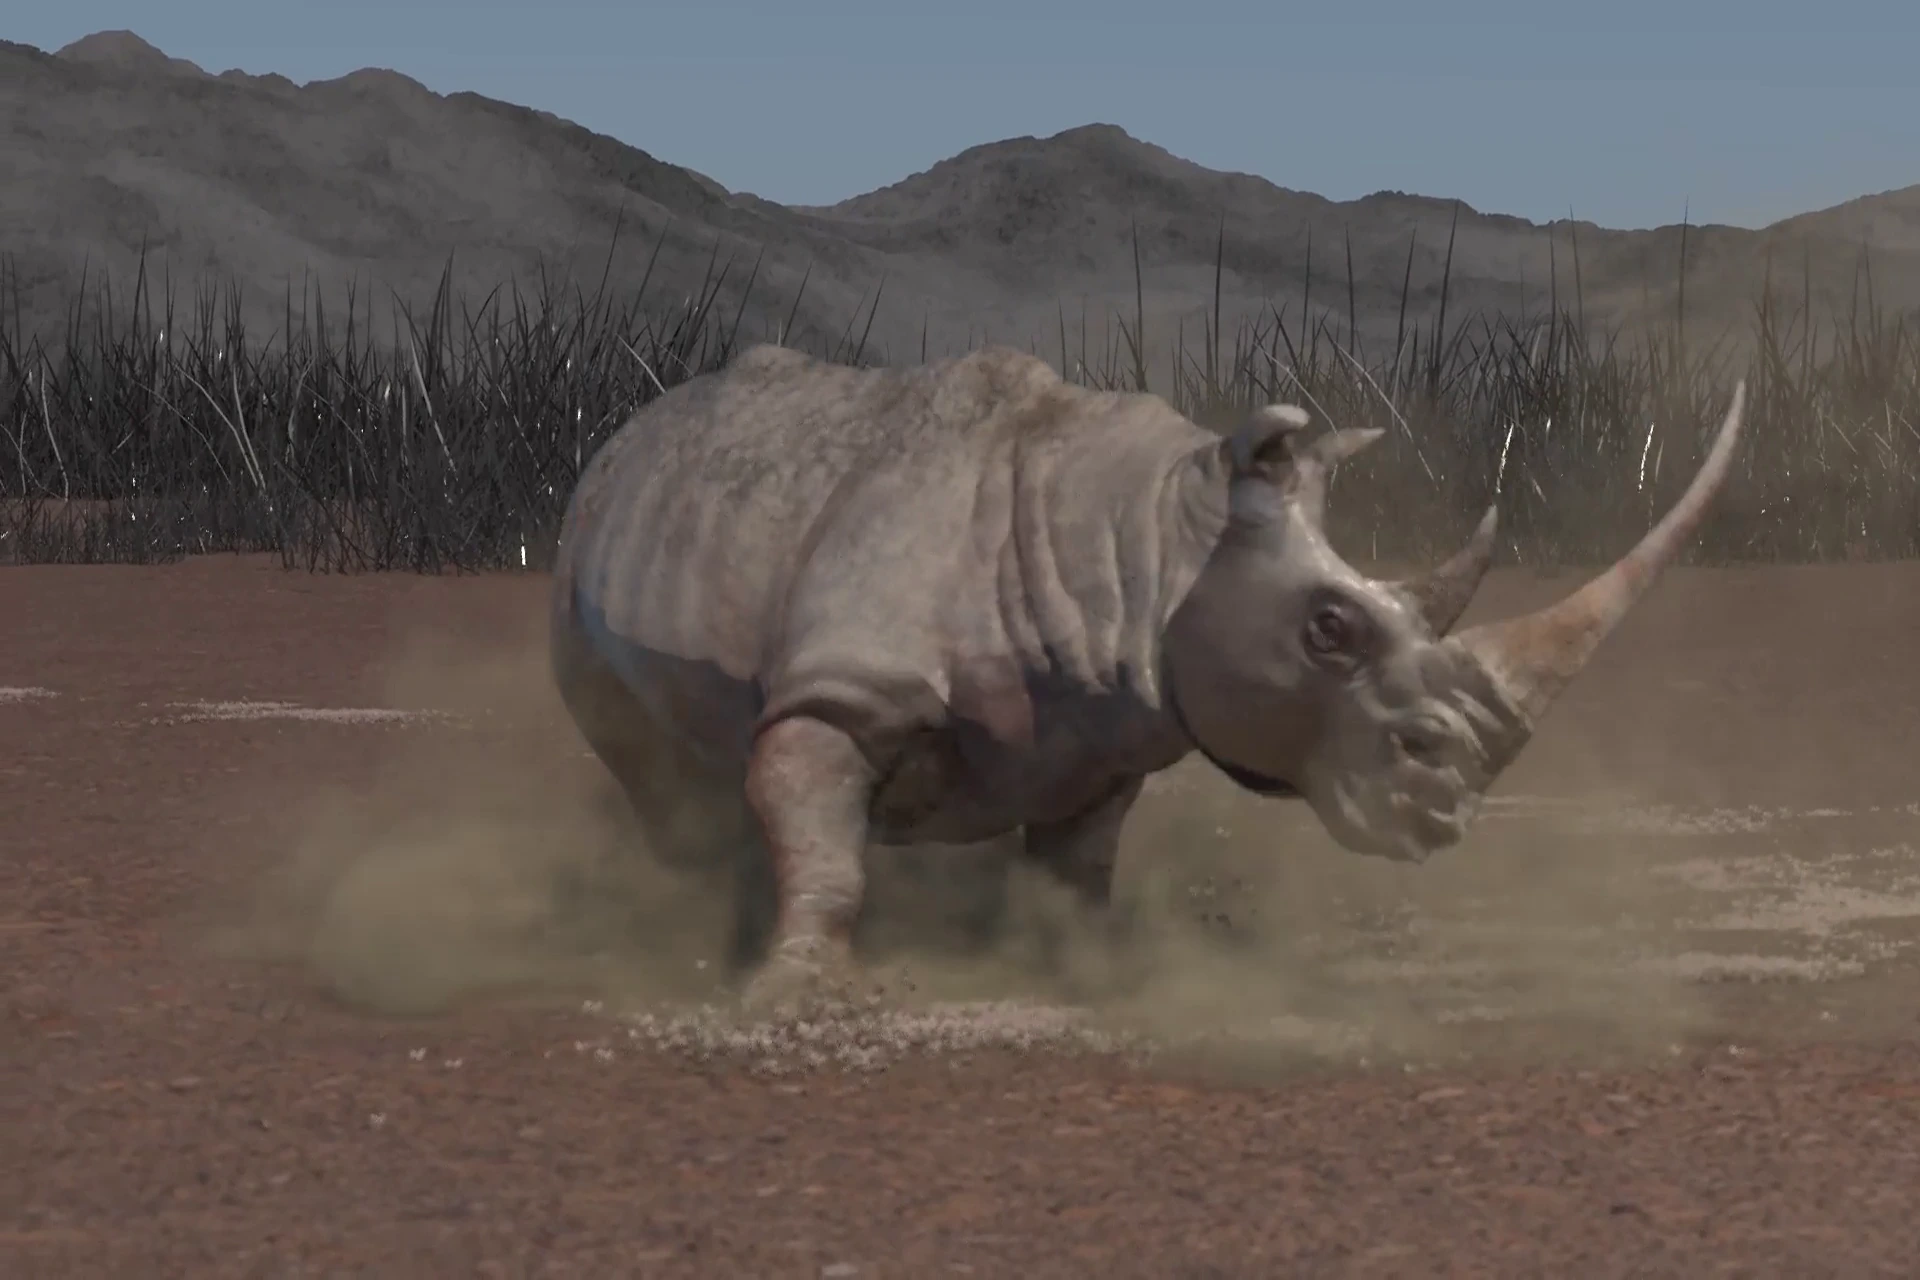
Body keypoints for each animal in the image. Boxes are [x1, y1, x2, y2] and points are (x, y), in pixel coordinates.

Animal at [551, 343, 1746, 1008]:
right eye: (1329, 628)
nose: (1446, 805)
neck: (1153, 529)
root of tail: (629, 430)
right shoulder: (844, 687)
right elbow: (821, 819)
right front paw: (802, 992)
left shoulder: (1103, 734)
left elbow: (1077, 866)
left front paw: (1088, 971)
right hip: (582, 559)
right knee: (667, 783)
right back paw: (695, 920)